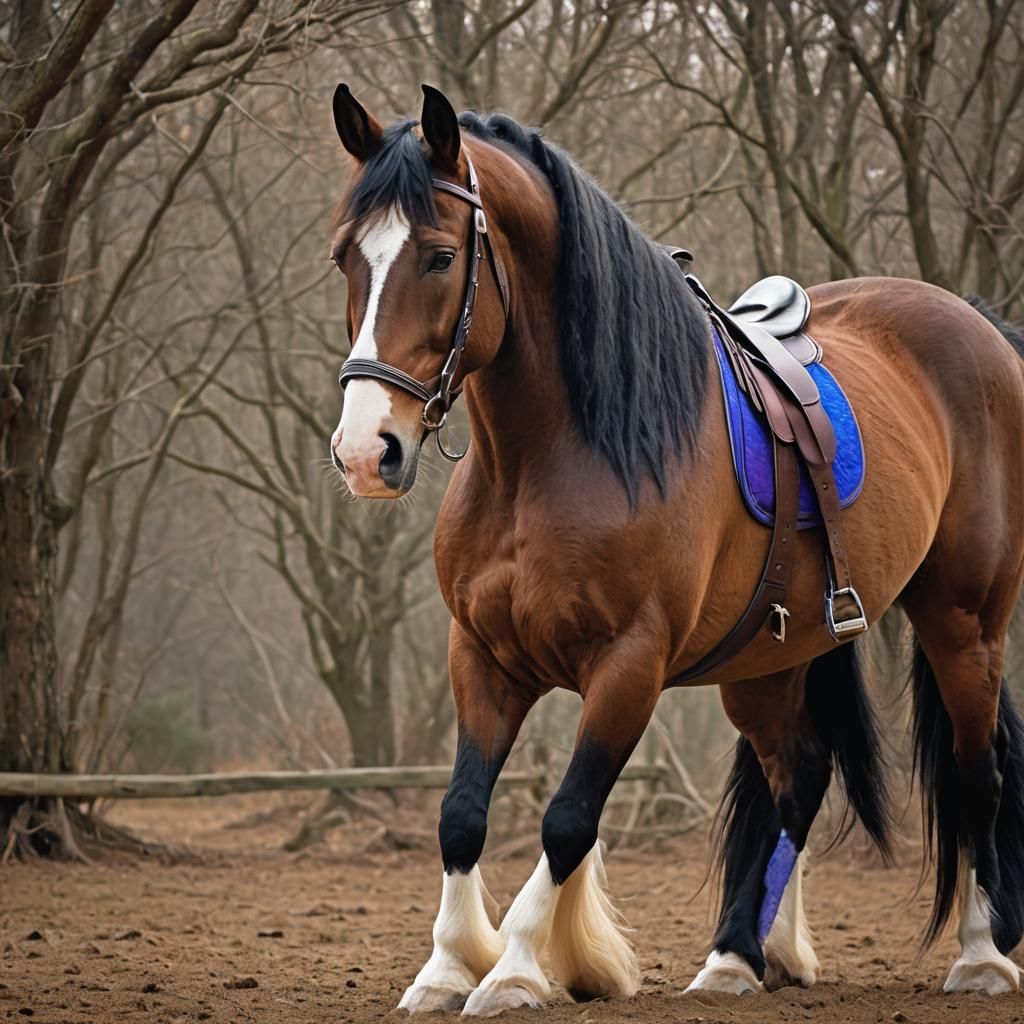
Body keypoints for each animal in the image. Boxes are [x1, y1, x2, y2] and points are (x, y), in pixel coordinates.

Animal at [326, 83, 1024, 1013]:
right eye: (346, 259)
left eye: (439, 258)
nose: (367, 451)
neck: (552, 457)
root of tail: (980, 326)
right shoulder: (482, 655)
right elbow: (462, 813)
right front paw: (445, 968)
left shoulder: (630, 665)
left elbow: (567, 819)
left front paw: (516, 968)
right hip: (773, 660)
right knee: (797, 778)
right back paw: (742, 957)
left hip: (962, 622)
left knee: (978, 775)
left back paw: (980, 958)